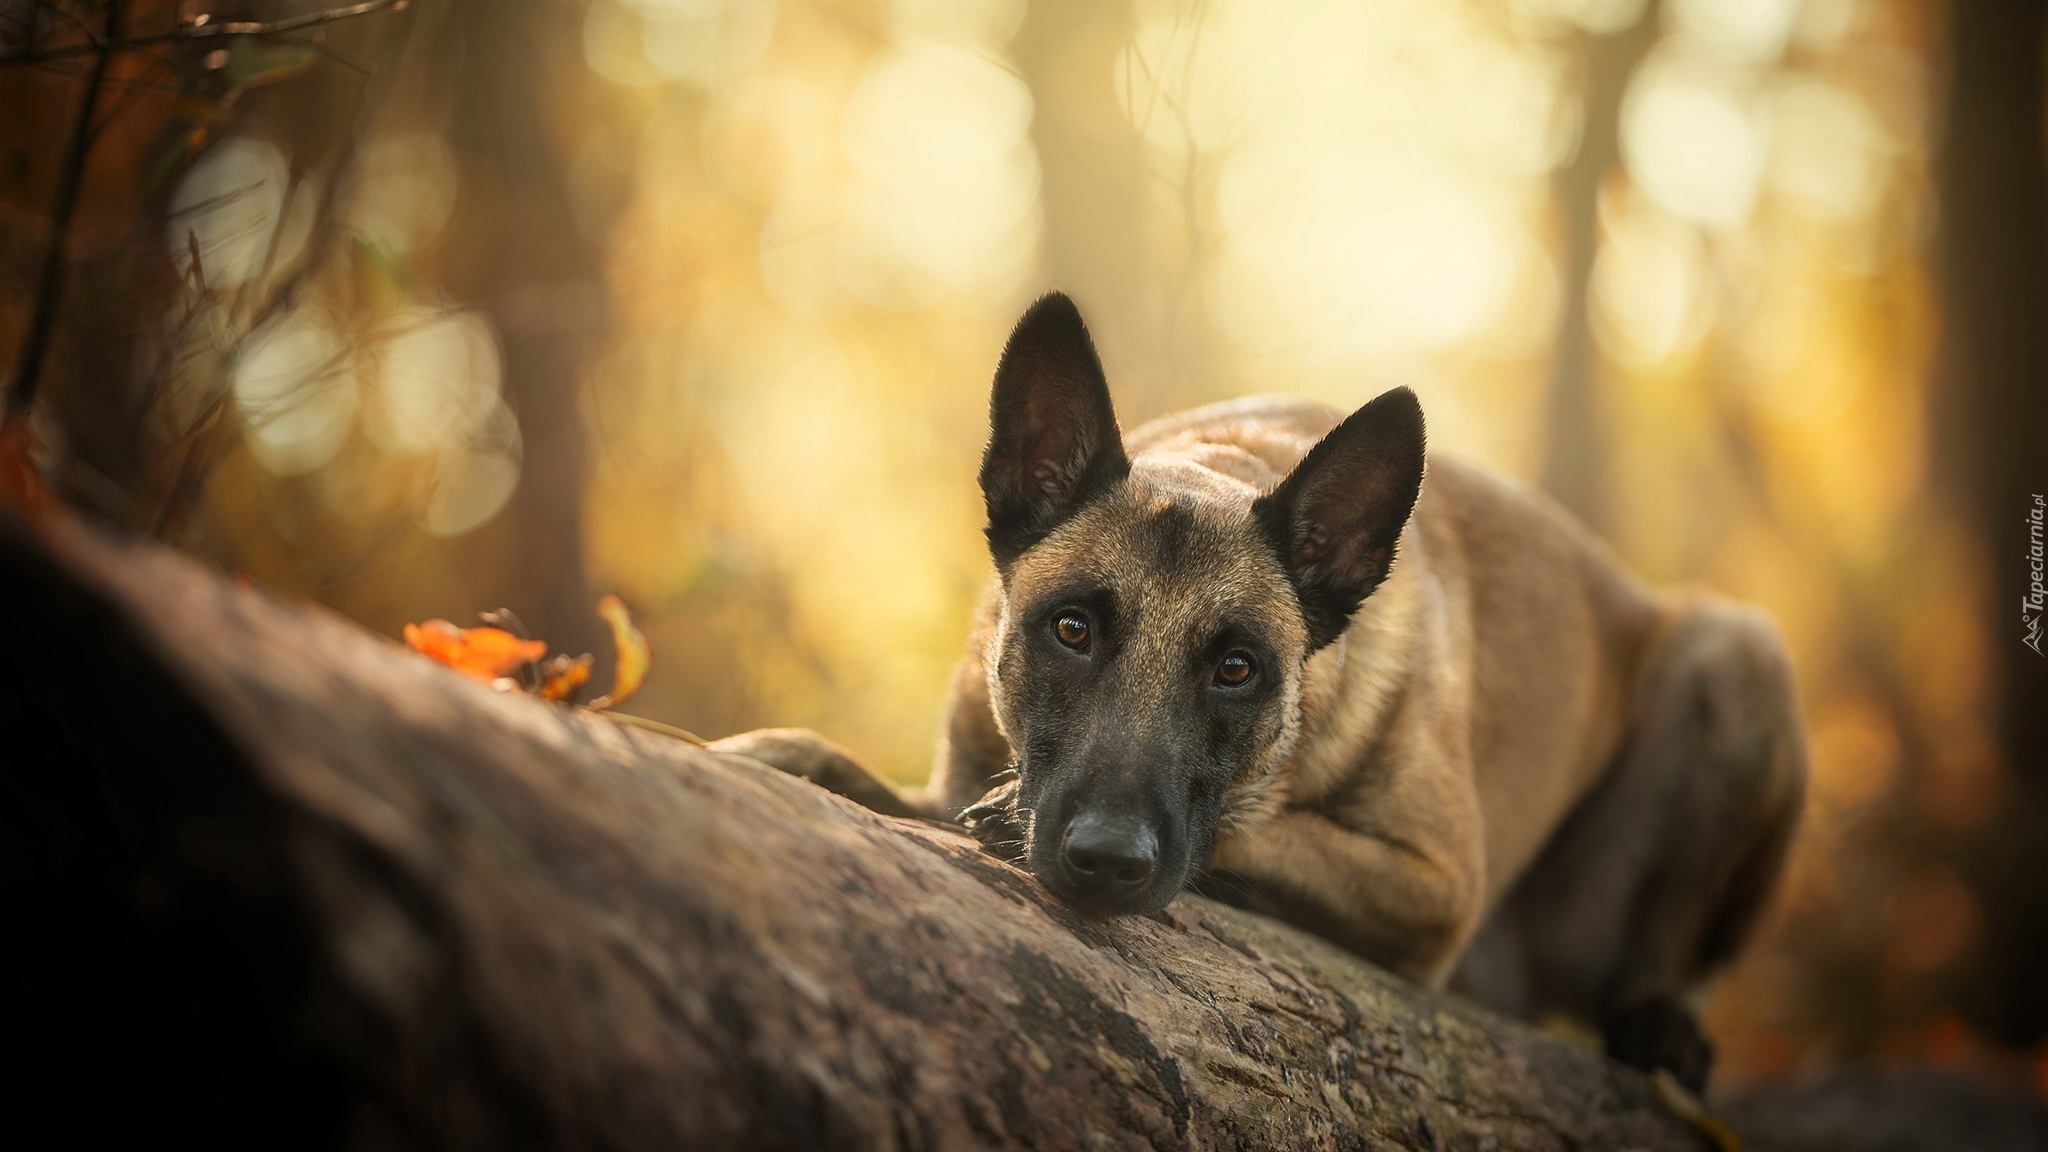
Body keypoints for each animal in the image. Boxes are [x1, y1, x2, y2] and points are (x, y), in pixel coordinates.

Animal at [712, 289, 1802, 1082]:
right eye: (1071, 629)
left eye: (1237, 670)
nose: (1104, 861)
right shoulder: (947, 778)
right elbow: (863, 773)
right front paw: (776, 753)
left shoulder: (1433, 884)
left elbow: (1257, 829)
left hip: (1738, 652)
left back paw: (1659, 1025)